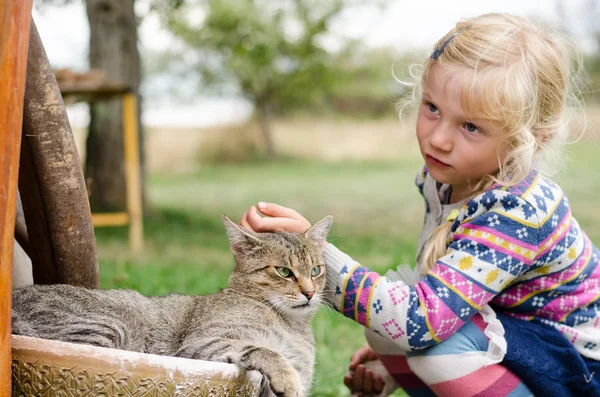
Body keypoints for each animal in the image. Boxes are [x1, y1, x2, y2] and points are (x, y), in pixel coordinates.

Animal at [11, 215, 332, 396]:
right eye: (284, 272)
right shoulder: (201, 345)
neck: (290, 324)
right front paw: (286, 378)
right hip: (107, 329)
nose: (310, 293)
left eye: (316, 270)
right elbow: (266, 351)